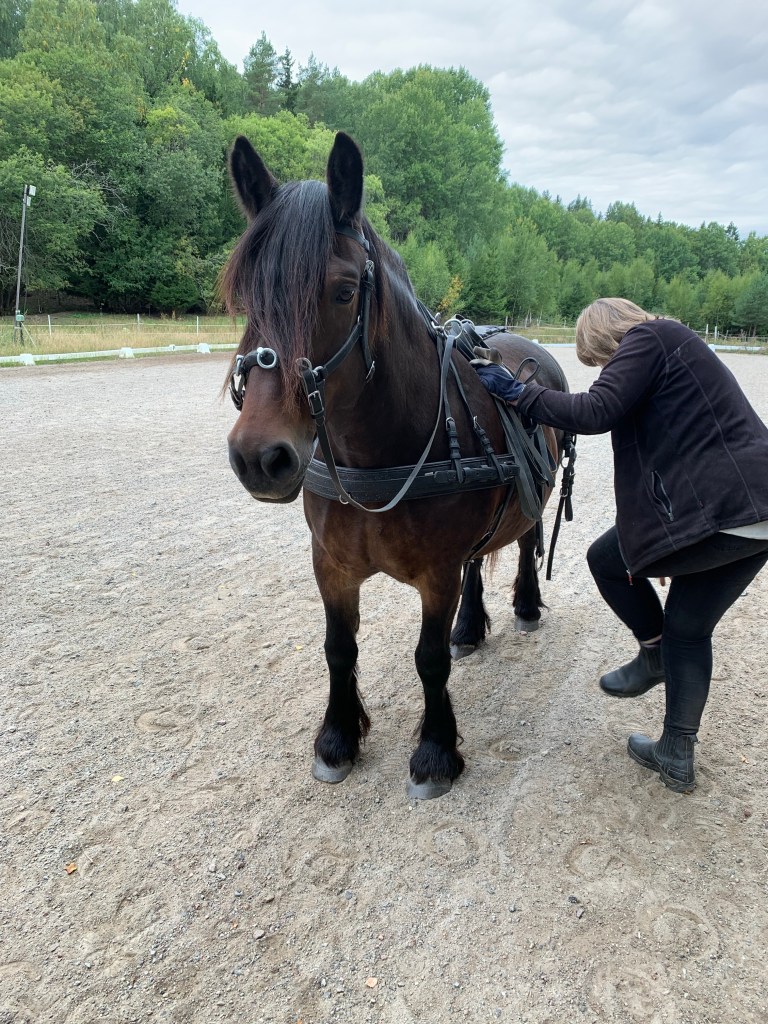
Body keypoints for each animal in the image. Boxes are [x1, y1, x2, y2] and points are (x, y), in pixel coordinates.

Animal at [222, 131, 571, 799]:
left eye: (343, 290)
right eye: (244, 293)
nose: (260, 456)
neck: (379, 450)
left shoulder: (435, 573)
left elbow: (427, 659)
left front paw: (435, 752)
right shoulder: (331, 566)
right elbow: (339, 649)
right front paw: (337, 738)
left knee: (524, 540)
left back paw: (523, 606)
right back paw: (471, 626)